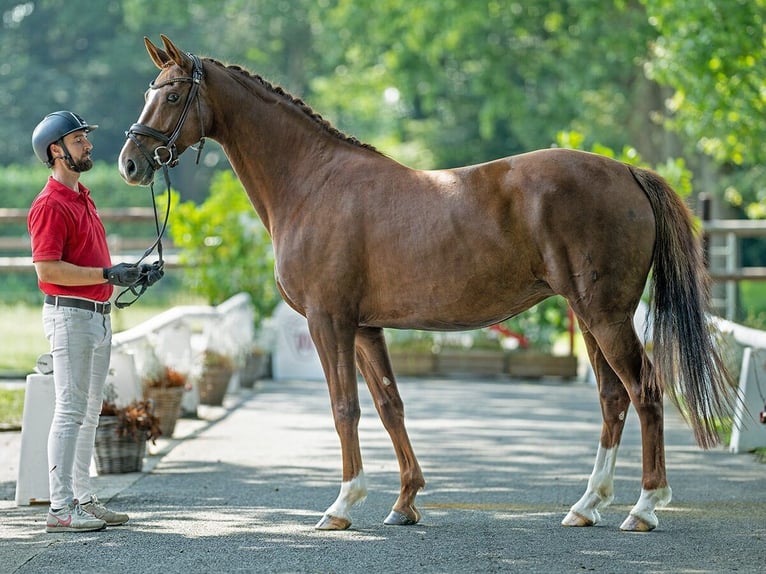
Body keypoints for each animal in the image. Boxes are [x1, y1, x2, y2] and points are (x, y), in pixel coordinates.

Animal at [118, 33, 732, 532]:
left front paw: (342, 506)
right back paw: (586, 506)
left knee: (645, 391)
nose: (130, 163)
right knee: (612, 397)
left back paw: (644, 507)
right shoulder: (365, 327)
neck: (313, 182)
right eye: (148, 90)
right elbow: (390, 404)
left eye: (171, 95)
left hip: (605, 316)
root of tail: (628, 171)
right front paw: (405, 502)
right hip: (589, 316)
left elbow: (344, 407)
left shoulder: (328, 322)